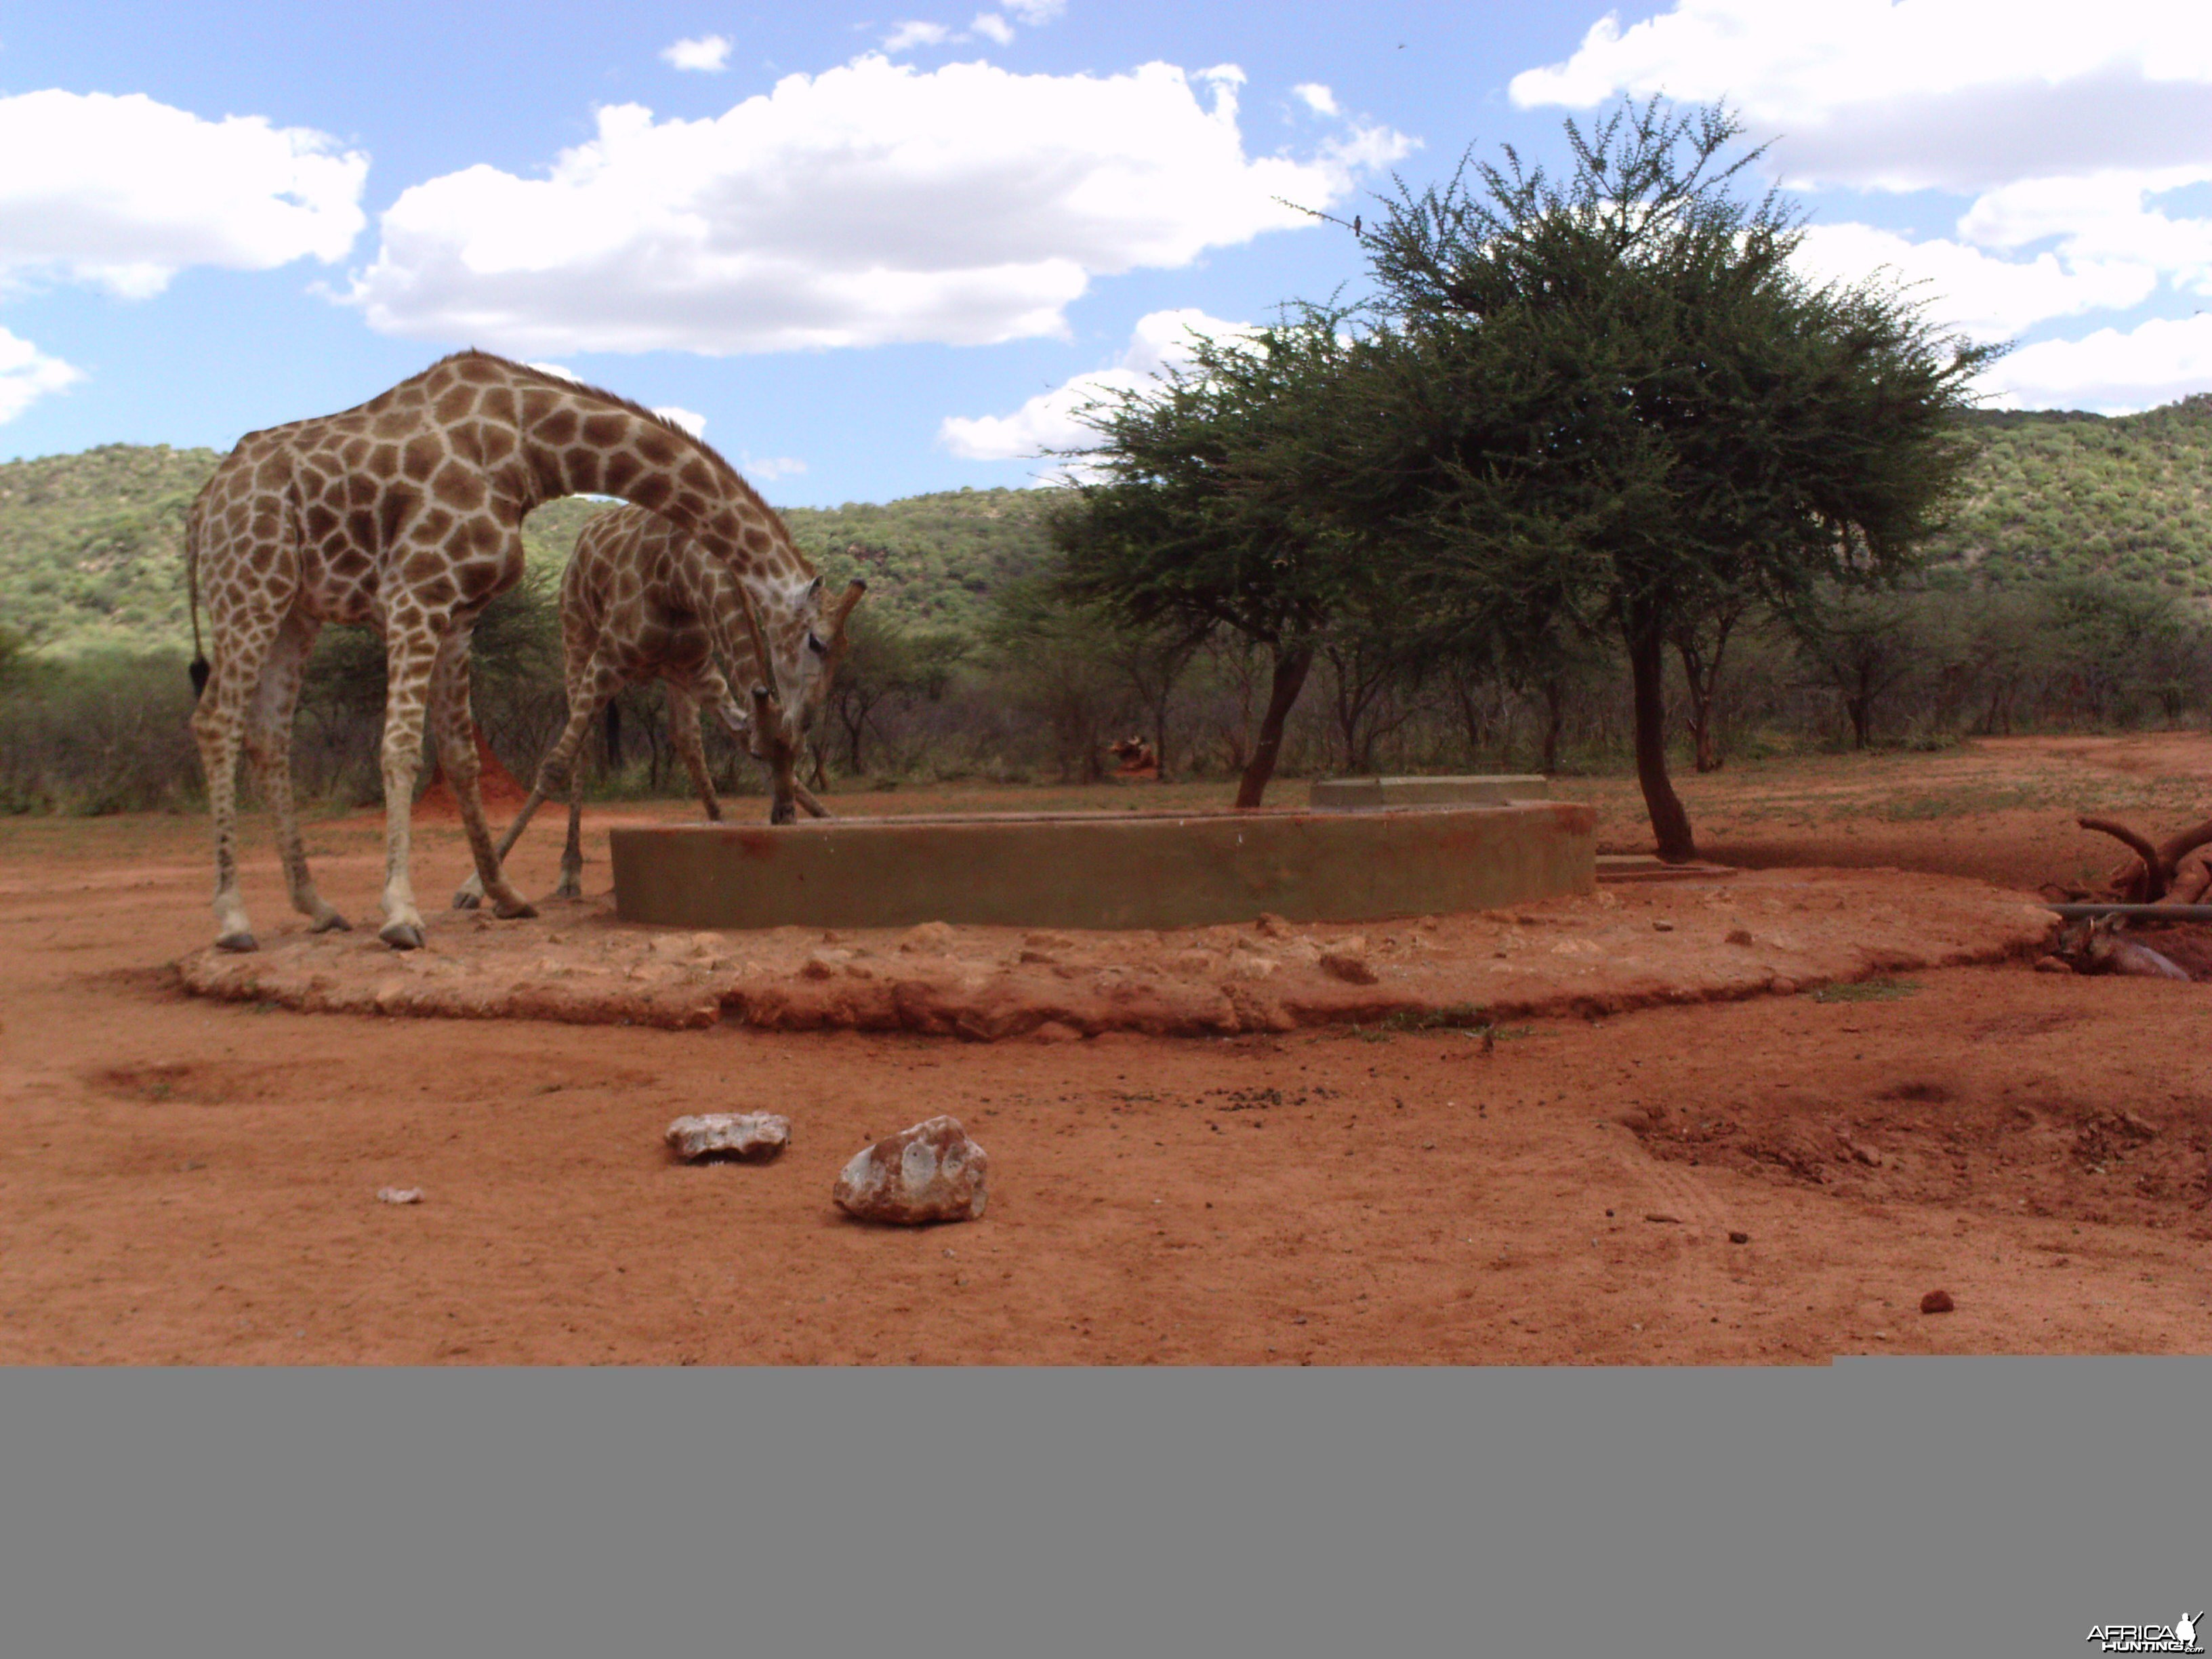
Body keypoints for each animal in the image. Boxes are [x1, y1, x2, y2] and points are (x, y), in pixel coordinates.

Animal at [451, 506, 862, 911]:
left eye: (799, 754)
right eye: (760, 755)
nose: (785, 815)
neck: (679, 578)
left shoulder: (698, 666)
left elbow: (718, 737)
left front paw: (824, 819)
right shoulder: (610, 659)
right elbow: (554, 765)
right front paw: (475, 887)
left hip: (673, 673)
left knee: (685, 737)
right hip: (577, 636)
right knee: (581, 749)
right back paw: (569, 873)